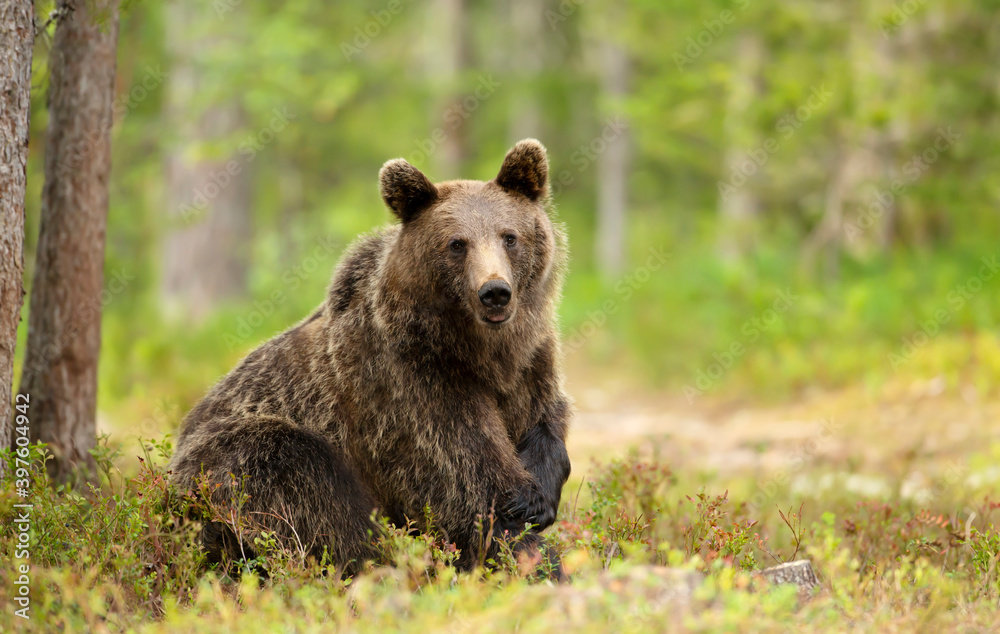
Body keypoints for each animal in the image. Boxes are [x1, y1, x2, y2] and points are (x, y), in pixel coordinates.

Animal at [169, 139, 571, 575]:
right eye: (456, 243)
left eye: (509, 236)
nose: (494, 291)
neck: (477, 348)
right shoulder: (412, 382)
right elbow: (466, 475)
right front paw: (533, 551)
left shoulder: (531, 358)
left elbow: (547, 416)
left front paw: (539, 497)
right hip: (227, 457)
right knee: (305, 481)